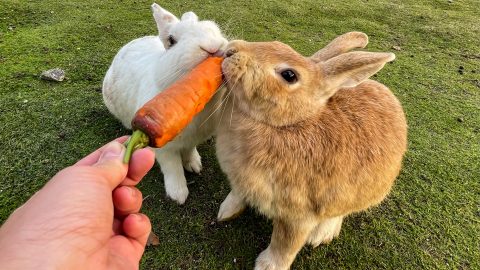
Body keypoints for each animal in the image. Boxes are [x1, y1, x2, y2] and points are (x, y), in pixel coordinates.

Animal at [101, 3, 229, 204]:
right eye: (172, 40)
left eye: (212, 28)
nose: (212, 47)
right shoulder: (164, 148)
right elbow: (172, 167)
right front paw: (178, 194)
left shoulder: (192, 139)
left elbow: (189, 151)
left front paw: (194, 165)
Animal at [216, 32, 406, 270]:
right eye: (276, 43)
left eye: (289, 75)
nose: (231, 50)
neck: (287, 125)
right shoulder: (241, 181)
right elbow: (237, 195)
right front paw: (225, 212)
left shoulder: (298, 216)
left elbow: (285, 244)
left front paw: (268, 266)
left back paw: (321, 234)